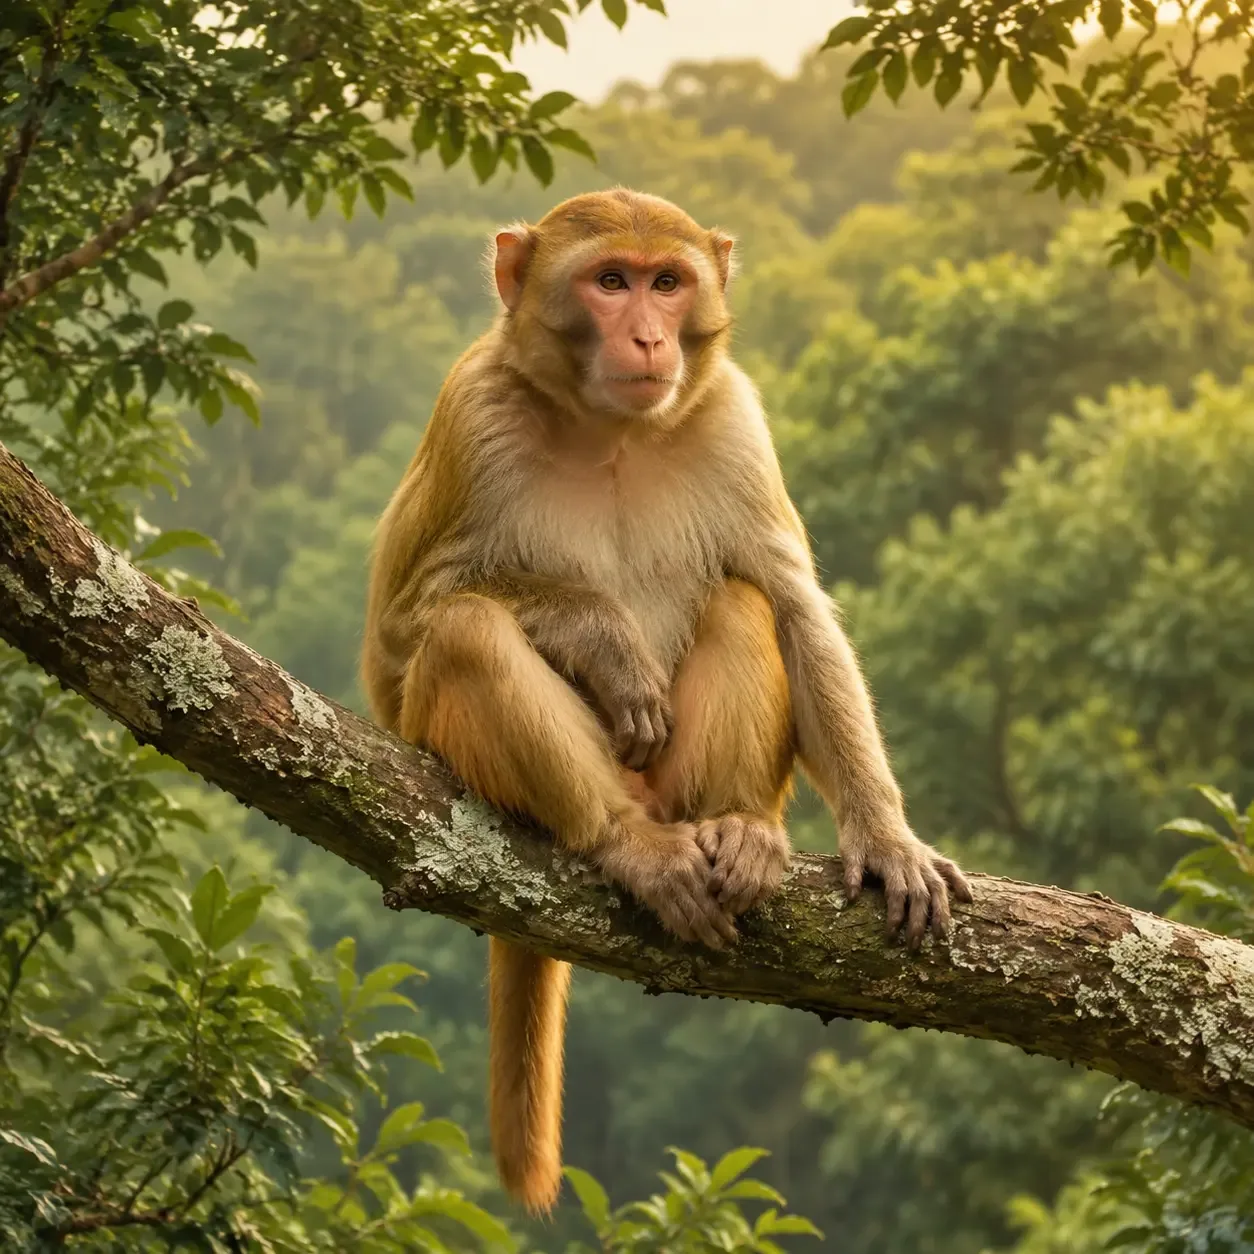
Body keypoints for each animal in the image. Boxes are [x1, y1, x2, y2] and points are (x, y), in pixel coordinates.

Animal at [361, 188, 972, 1216]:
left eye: (667, 282)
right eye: (610, 281)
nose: (649, 336)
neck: (608, 429)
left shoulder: (735, 420)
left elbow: (795, 605)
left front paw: (887, 838)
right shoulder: (470, 415)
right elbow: (403, 636)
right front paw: (604, 639)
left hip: (681, 781)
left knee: (742, 598)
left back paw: (739, 830)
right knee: (466, 632)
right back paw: (625, 841)